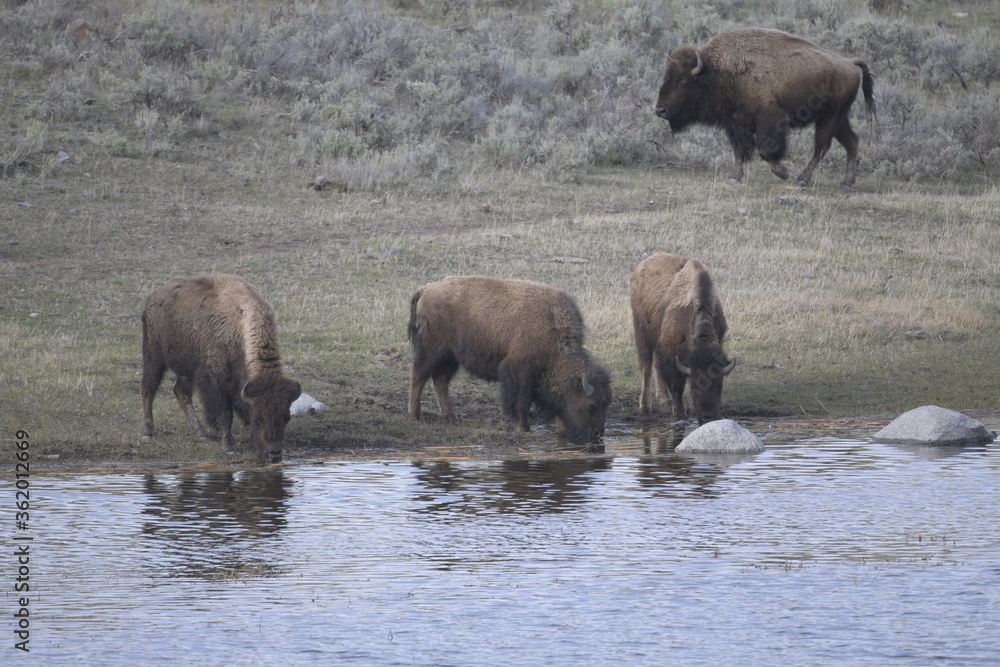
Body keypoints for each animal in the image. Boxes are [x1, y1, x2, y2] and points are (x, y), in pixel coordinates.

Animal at [140, 274, 300, 462]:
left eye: (286, 417)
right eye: (258, 418)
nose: (274, 455)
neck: (240, 330)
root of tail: (153, 298)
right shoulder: (217, 381)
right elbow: (226, 415)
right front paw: (230, 447)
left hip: (187, 369)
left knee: (181, 392)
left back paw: (201, 434)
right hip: (154, 355)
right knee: (148, 388)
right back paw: (147, 432)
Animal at [406, 276, 608, 444]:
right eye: (591, 404)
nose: (598, 433)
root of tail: (426, 289)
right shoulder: (520, 371)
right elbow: (522, 402)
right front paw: (523, 428)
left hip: (450, 357)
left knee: (440, 382)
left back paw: (452, 419)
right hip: (432, 351)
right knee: (418, 377)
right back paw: (415, 417)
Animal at [632, 254, 736, 422]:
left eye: (720, 386)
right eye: (693, 386)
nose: (707, 417)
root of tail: (642, 266)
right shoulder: (671, 353)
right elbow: (677, 384)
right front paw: (679, 412)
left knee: (656, 364)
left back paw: (664, 399)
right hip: (642, 333)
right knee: (646, 368)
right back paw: (645, 406)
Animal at [652, 27, 872, 187]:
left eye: (682, 82)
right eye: (665, 77)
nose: (660, 110)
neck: (717, 72)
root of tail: (849, 62)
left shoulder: (769, 118)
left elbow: (766, 150)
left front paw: (783, 173)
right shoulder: (734, 123)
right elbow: (739, 150)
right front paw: (734, 177)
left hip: (830, 117)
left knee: (821, 146)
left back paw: (802, 179)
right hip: (840, 117)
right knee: (851, 141)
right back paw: (846, 182)